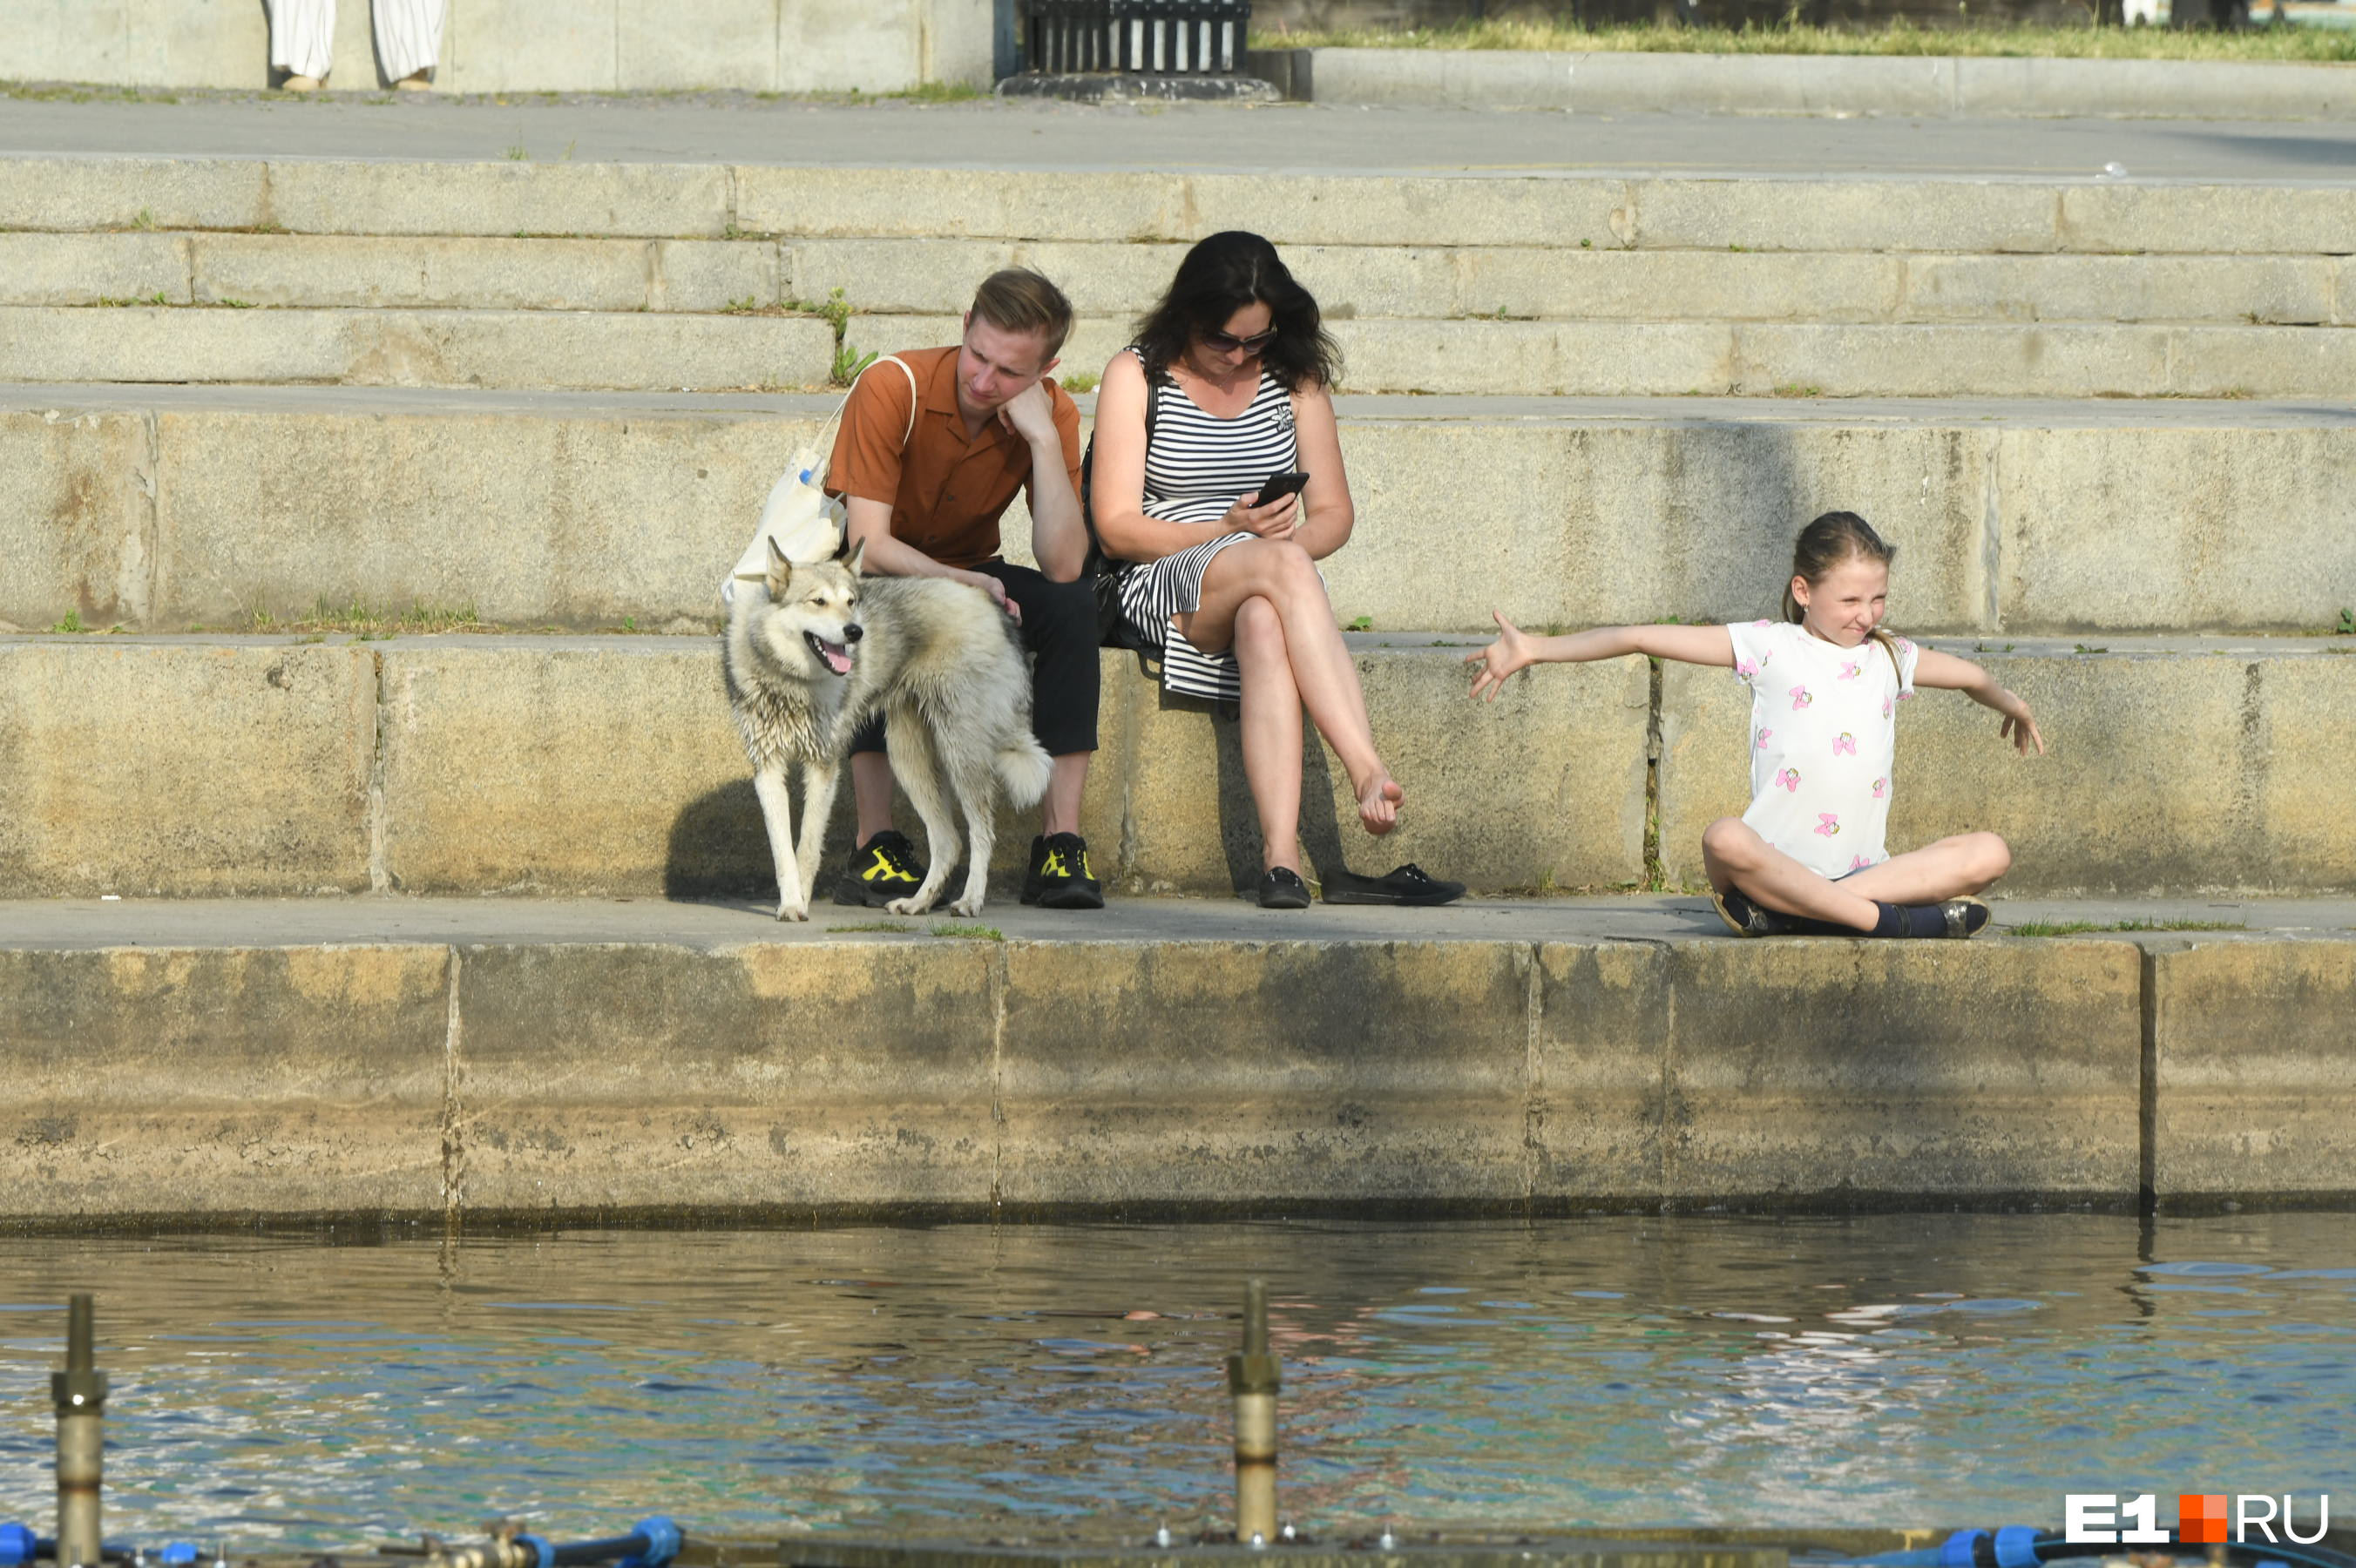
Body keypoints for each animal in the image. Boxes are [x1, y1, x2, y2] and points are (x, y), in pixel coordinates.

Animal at [716, 534, 1050, 918]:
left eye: (851, 602)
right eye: (818, 601)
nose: (855, 632)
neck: (789, 682)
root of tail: (992, 605)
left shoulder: (823, 766)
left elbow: (808, 847)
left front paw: (800, 901)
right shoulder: (767, 769)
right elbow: (783, 850)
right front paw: (790, 903)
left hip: (959, 752)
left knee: (981, 833)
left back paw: (969, 900)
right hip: (908, 760)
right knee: (948, 842)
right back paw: (918, 902)